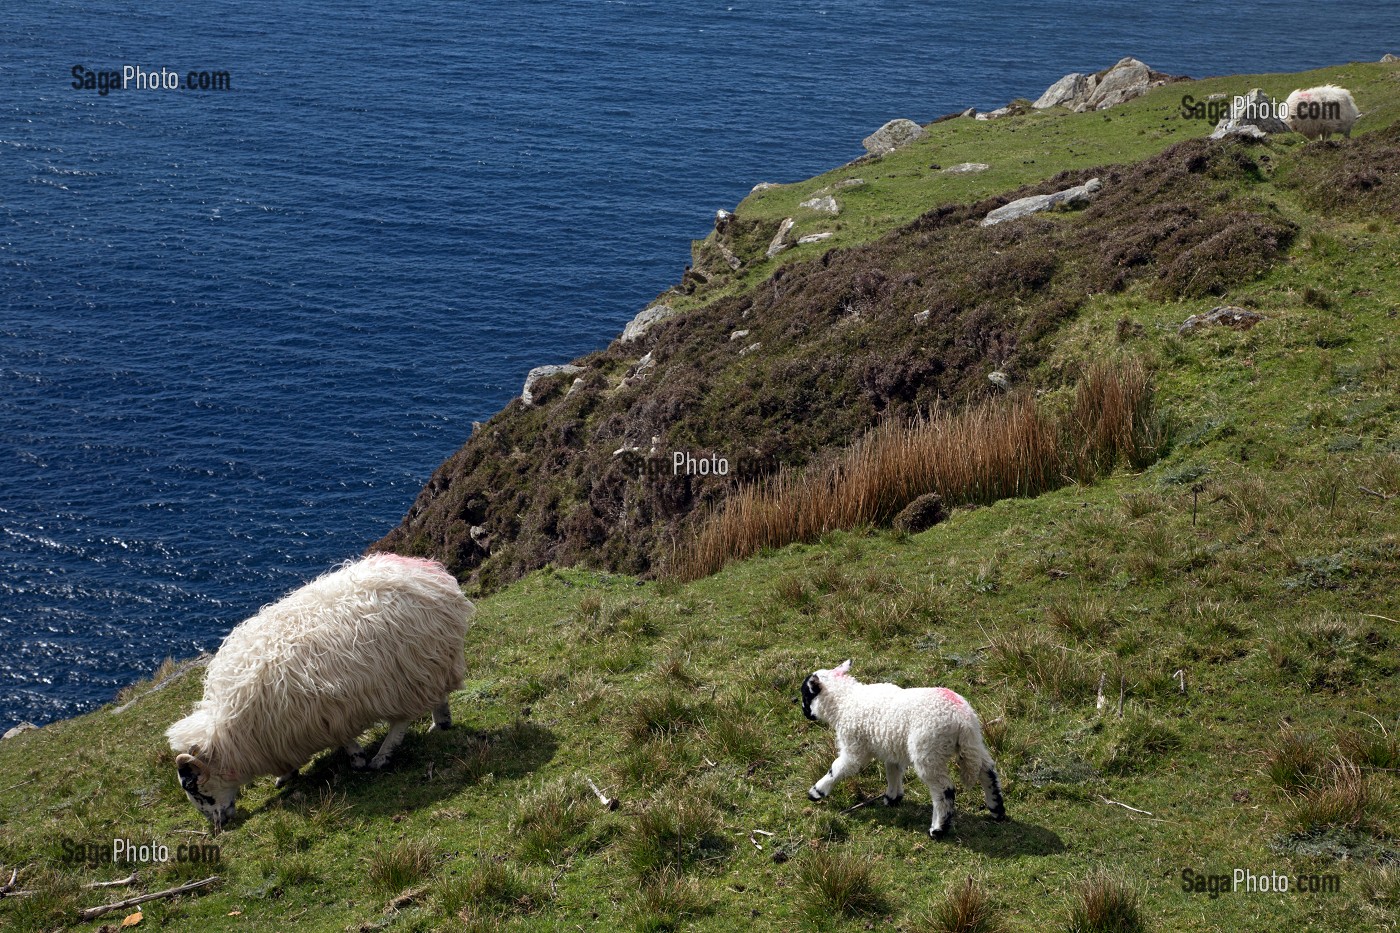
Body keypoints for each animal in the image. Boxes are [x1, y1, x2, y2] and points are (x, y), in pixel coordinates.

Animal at [166, 554, 473, 829]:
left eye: (193, 787)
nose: (218, 825)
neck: (234, 732)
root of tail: (430, 575)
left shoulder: (320, 713)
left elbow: (344, 739)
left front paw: (357, 759)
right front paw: (286, 776)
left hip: (406, 674)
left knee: (401, 720)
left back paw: (382, 757)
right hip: (430, 663)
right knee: (438, 697)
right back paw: (440, 724)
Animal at [801, 660, 1005, 838]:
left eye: (806, 694)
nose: (804, 712)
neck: (845, 701)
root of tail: (962, 719)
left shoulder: (854, 747)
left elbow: (838, 768)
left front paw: (817, 792)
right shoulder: (891, 746)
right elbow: (892, 770)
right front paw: (893, 798)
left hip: (928, 751)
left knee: (944, 790)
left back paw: (938, 829)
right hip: (973, 743)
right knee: (987, 771)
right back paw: (997, 810)